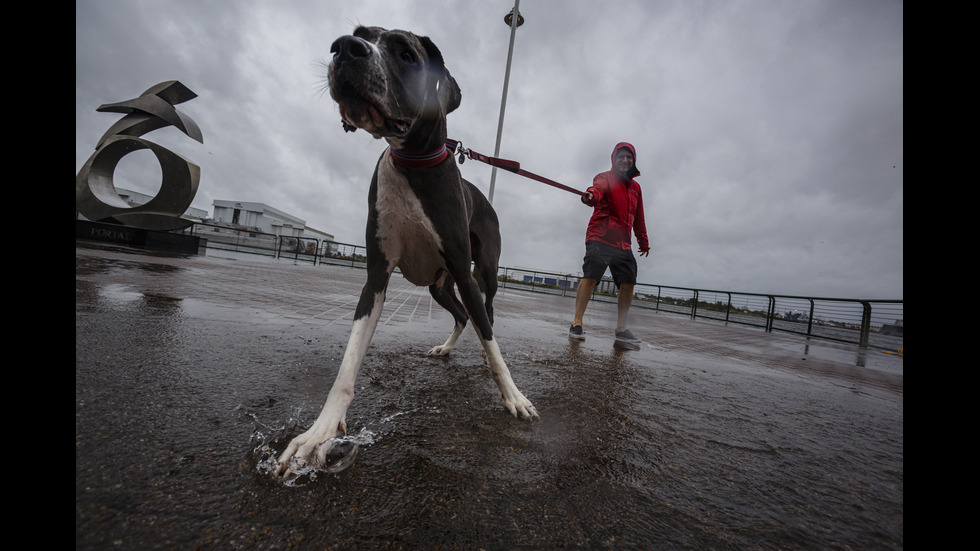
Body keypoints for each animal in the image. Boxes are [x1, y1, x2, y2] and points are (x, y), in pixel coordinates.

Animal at [276, 25, 540, 476]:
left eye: (406, 54)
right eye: (360, 34)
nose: (345, 48)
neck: (412, 162)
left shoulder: (462, 269)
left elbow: (493, 344)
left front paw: (513, 396)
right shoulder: (377, 277)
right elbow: (348, 363)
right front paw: (319, 433)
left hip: (482, 273)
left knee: (485, 315)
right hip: (439, 285)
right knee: (462, 316)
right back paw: (446, 347)